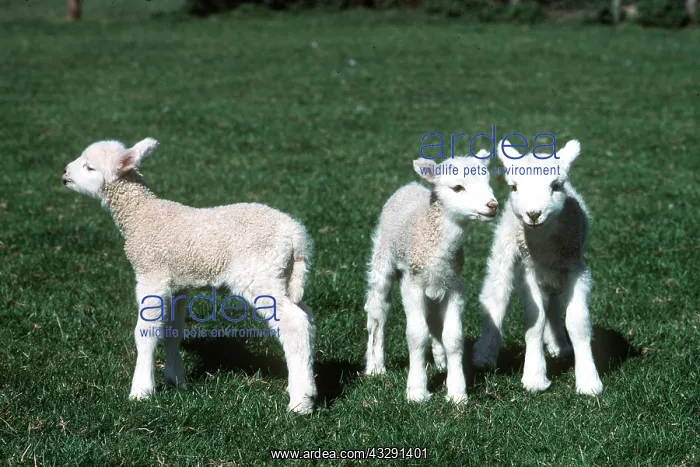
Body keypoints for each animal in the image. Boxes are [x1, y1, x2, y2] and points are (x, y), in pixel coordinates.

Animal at [62, 138, 317, 413]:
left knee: (294, 323)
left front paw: (141, 390)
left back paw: (301, 402)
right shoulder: (177, 285)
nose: (64, 173)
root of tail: (296, 236)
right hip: (286, 277)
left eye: (89, 167)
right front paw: (175, 380)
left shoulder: (152, 274)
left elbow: (145, 331)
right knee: (307, 317)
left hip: (260, 274)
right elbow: (172, 330)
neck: (141, 215)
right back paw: (310, 386)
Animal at [364, 152, 499, 403]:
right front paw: (416, 391)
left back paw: (441, 361)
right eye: (457, 188)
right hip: (383, 257)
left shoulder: (454, 286)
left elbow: (454, 338)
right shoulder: (412, 284)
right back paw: (375, 366)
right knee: (378, 311)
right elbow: (417, 335)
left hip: (436, 286)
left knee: (435, 320)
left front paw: (457, 392)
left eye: (487, 182)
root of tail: (410, 186)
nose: (492, 205)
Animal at [472, 139, 603, 396]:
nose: (533, 214)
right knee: (496, 295)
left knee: (553, 304)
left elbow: (577, 322)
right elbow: (535, 319)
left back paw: (559, 346)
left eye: (556, 185)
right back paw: (485, 355)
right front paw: (534, 377)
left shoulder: (575, 268)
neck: (543, 243)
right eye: (514, 187)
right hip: (506, 247)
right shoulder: (528, 270)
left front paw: (588, 381)